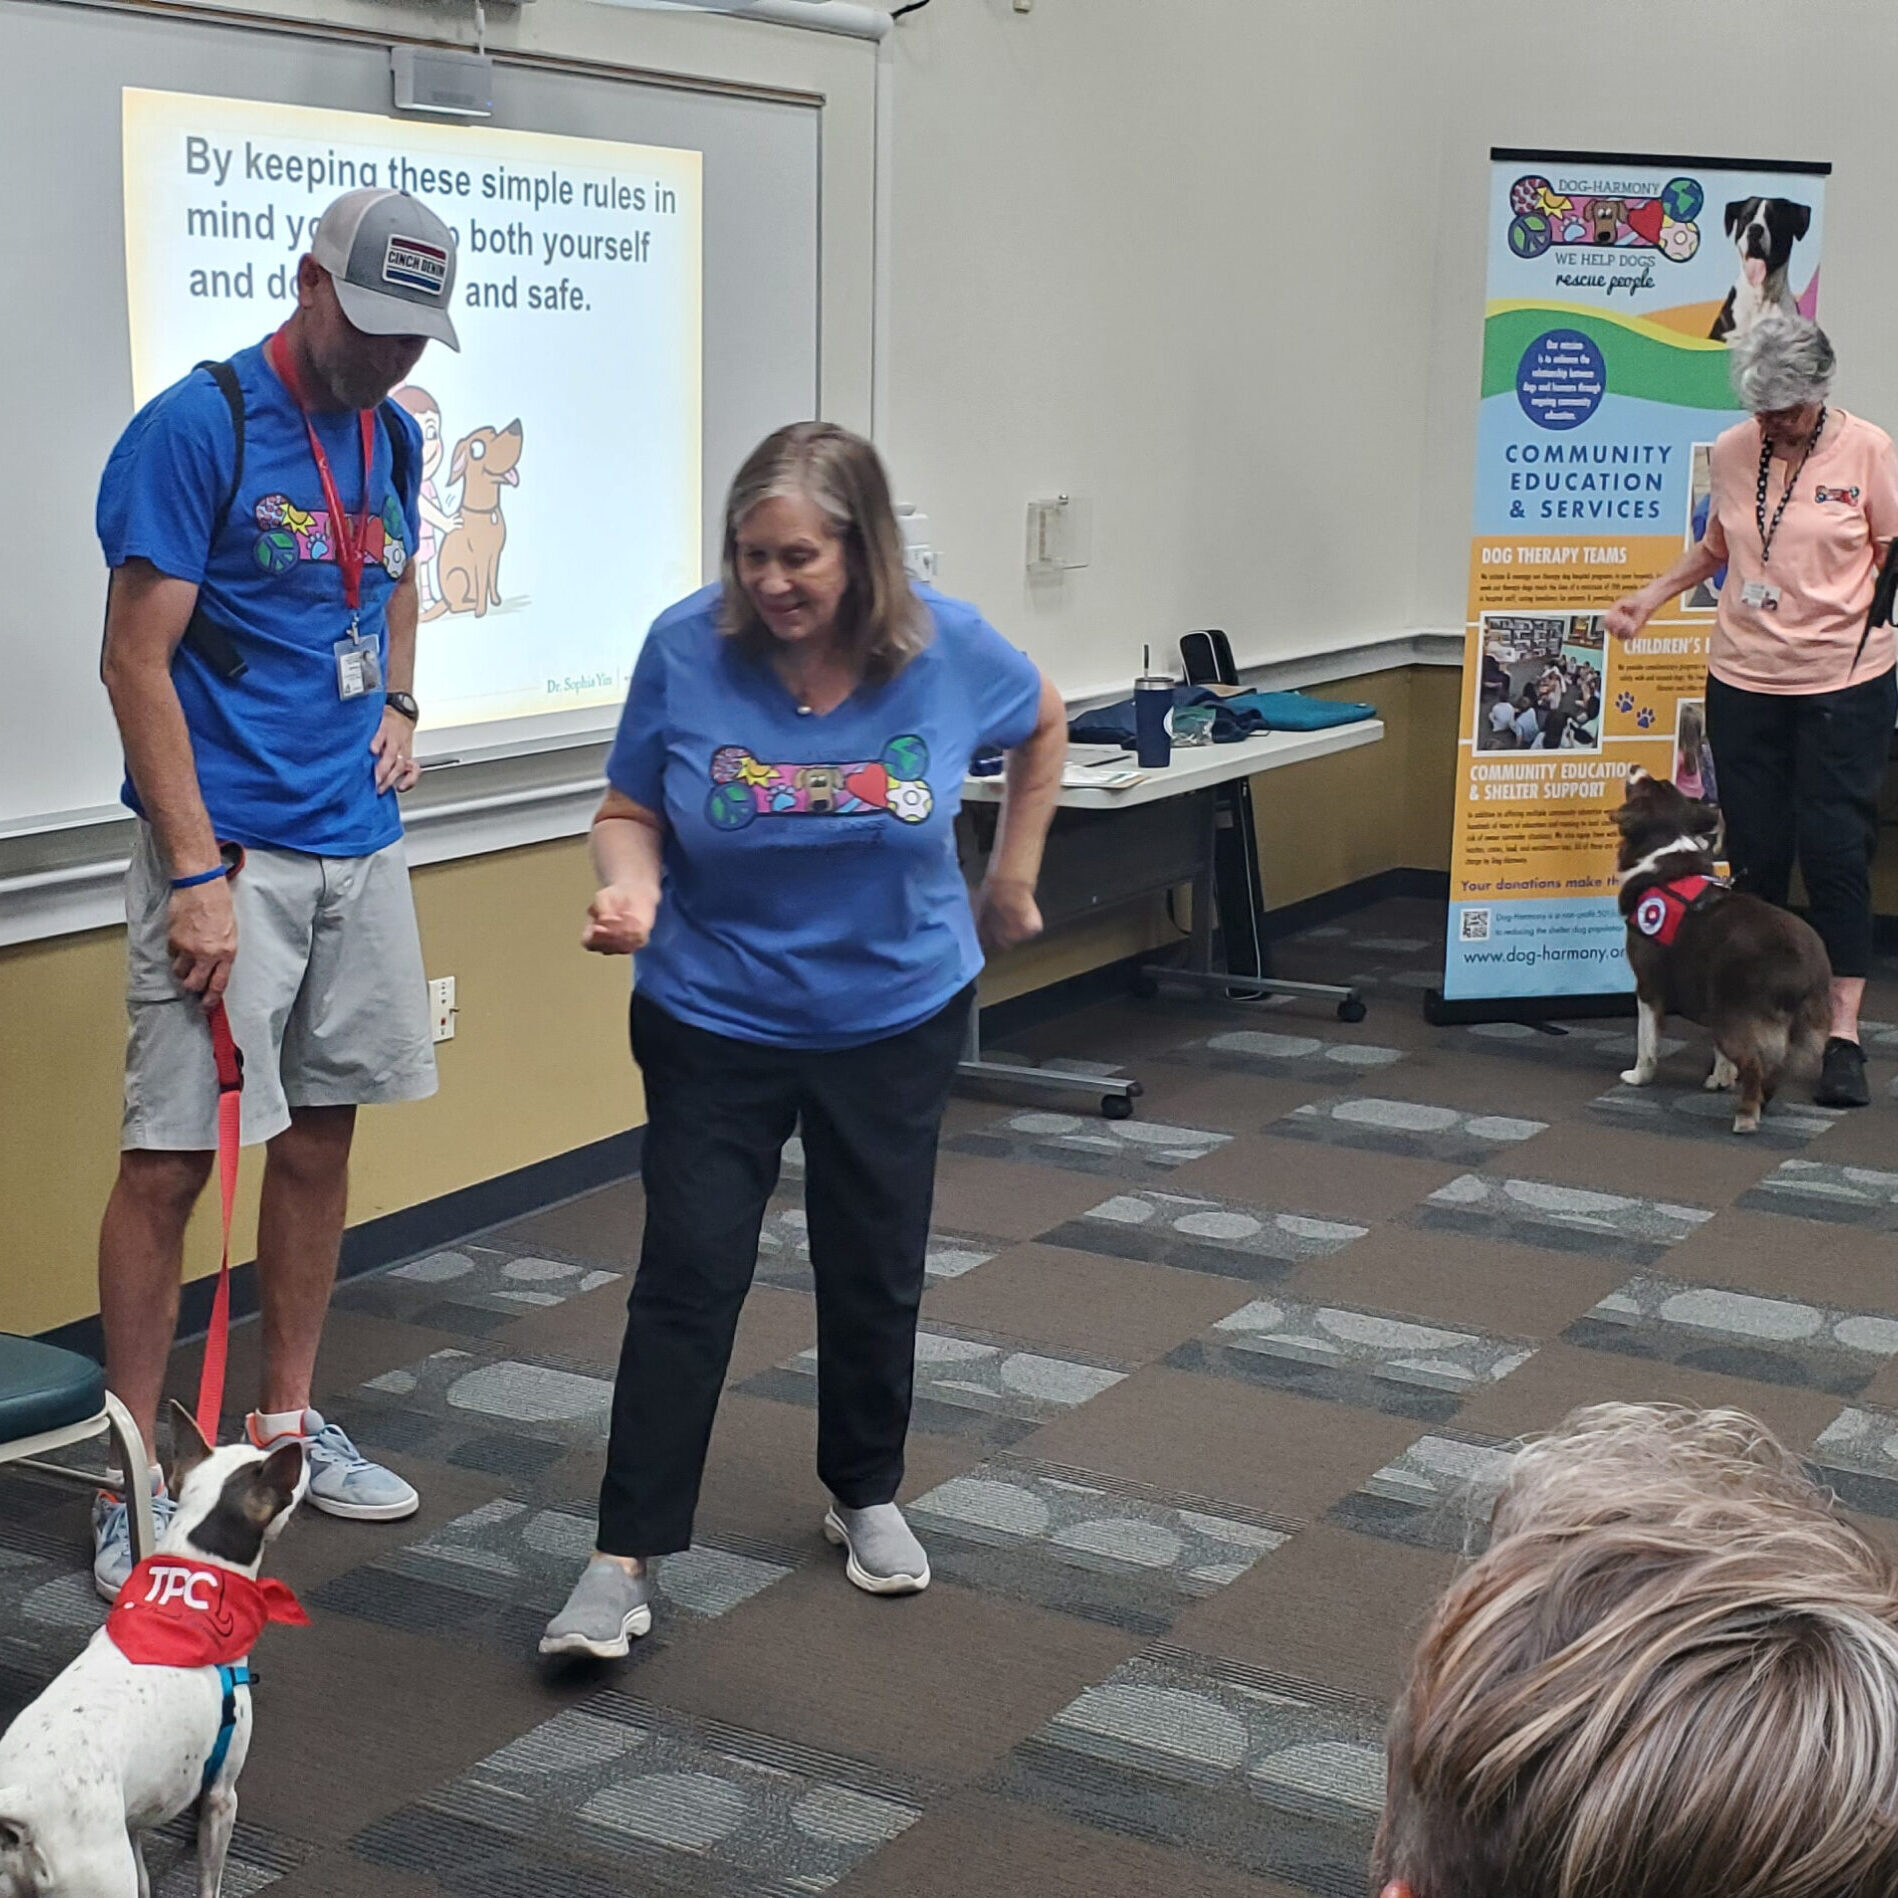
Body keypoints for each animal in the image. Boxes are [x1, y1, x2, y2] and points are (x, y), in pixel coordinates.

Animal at [0, 1412, 301, 1898]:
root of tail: (20, 1805)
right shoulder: (221, 1795)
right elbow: (209, 1880)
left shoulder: (136, 1814)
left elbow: (144, 1871)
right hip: (101, 1879)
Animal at [1609, 766, 1829, 1131]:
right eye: (1662, 784)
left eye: (1646, 785)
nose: (1634, 767)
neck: (1664, 844)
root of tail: (1802, 968)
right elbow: (1720, 1055)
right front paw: (1720, 1078)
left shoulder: (1648, 985)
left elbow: (1647, 1040)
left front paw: (1639, 1076)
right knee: (1775, 1068)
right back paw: (1760, 1102)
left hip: (1735, 1014)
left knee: (1754, 1064)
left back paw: (1745, 1117)